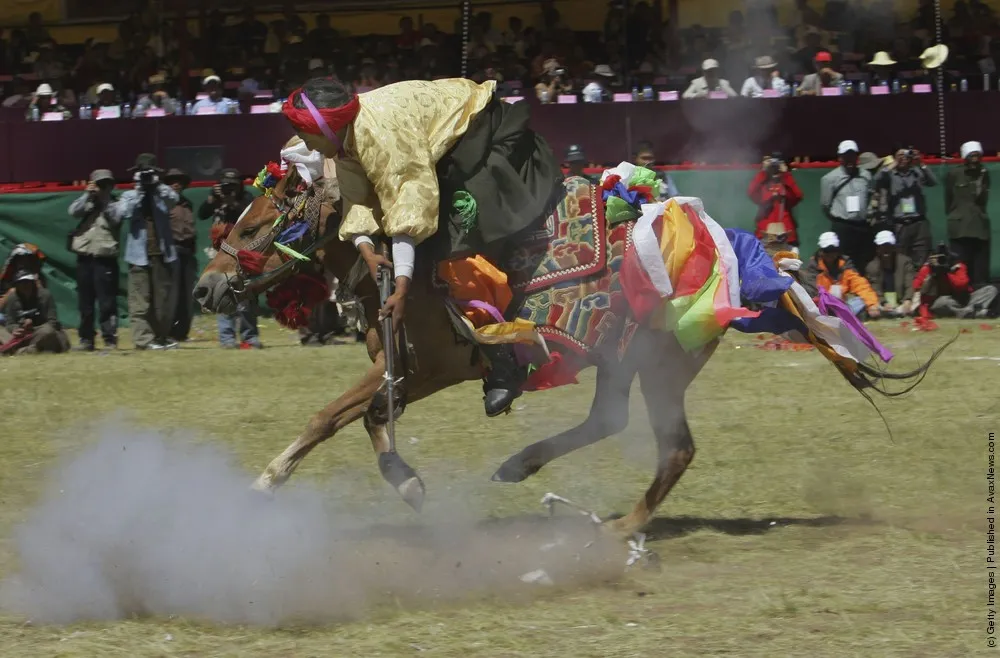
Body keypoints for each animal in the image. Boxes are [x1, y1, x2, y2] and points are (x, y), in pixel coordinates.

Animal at [193, 160, 936, 540]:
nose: (206, 287)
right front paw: (405, 483)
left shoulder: (435, 364)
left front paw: (270, 480)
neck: (399, 260)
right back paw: (521, 467)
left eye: (255, 227)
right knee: (609, 420)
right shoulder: (403, 367)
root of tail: (737, 257)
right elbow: (365, 415)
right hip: (620, 362)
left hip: (657, 367)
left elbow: (336, 414)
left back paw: (620, 526)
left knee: (674, 447)